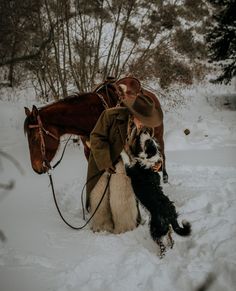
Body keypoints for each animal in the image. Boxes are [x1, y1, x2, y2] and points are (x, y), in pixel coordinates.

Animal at [121, 128, 191, 258]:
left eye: (148, 141)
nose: (145, 130)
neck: (149, 161)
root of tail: (171, 215)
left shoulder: (131, 169)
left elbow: (126, 158)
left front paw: (122, 150)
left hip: (155, 229)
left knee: (162, 246)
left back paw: (160, 257)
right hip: (165, 228)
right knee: (170, 239)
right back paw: (170, 247)